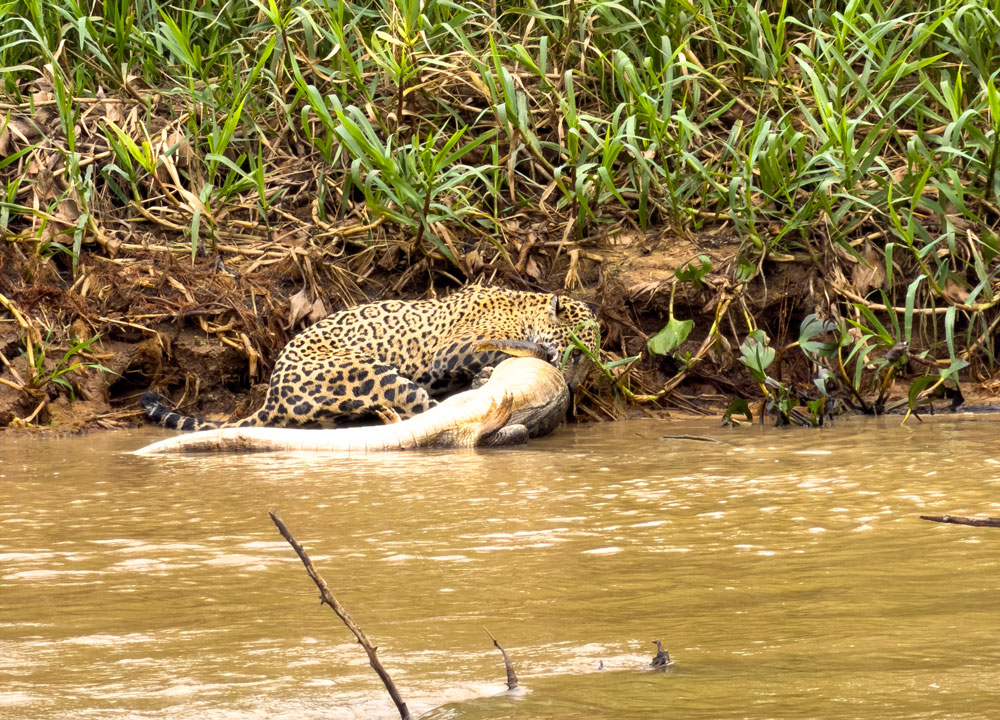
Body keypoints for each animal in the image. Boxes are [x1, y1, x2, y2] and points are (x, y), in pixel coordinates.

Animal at [141, 285, 599, 431]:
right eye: (578, 353)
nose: (574, 386)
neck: (525, 307)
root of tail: (273, 395)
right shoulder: (452, 347)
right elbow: (502, 343)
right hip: (371, 373)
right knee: (421, 410)